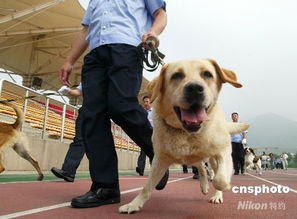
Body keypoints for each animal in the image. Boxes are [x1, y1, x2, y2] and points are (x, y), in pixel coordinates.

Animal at [119, 59, 249, 213]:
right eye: (176, 75)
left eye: (207, 74)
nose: (195, 88)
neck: (186, 133)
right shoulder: (159, 160)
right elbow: (147, 187)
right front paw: (134, 204)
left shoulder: (223, 151)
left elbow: (220, 180)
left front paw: (224, 185)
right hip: (192, 157)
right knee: (200, 166)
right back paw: (204, 185)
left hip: (212, 158)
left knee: (211, 169)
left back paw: (216, 195)